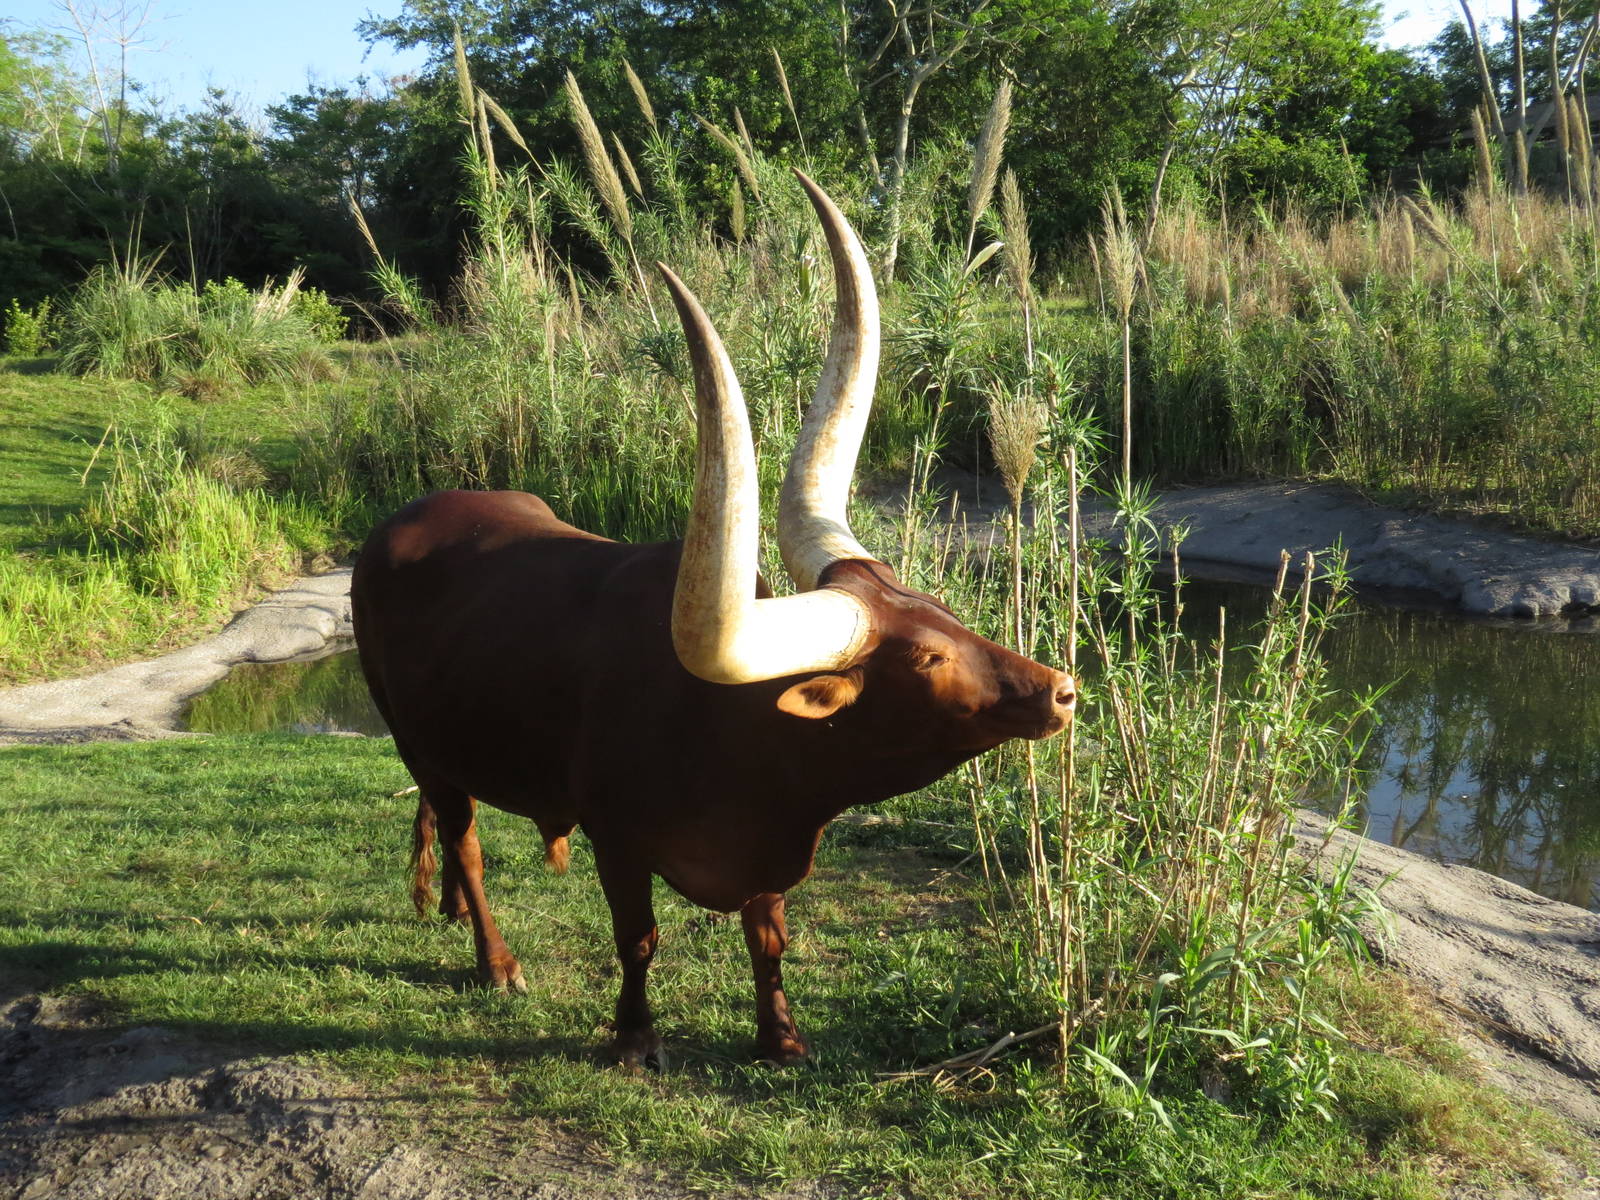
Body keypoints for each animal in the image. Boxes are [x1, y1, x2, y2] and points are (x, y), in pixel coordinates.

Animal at [351, 173, 1076, 1070]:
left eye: (945, 613)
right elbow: (639, 940)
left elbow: (768, 941)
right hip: (412, 740)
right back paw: (496, 961)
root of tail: (401, 521)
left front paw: (781, 1038)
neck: (727, 723)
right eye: (923, 661)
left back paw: (452, 912)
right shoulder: (617, 841)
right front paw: (634, 1037)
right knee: (466, 841)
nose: (1061, 689)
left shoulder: (766, 844)